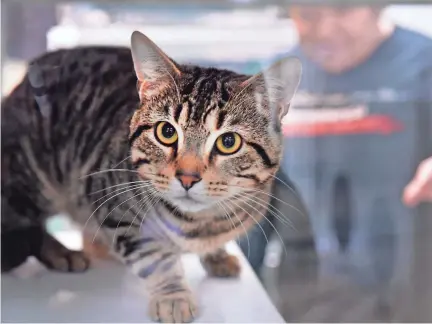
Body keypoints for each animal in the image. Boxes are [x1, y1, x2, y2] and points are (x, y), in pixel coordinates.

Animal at [1, 29, 300, 322]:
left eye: (229, 142)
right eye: (166, 132)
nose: (187, 177)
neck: (200, 223)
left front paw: (216, 255)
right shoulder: (118, 214)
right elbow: (155, 258)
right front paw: (173, 295)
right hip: (30, 179)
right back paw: (61, 253)